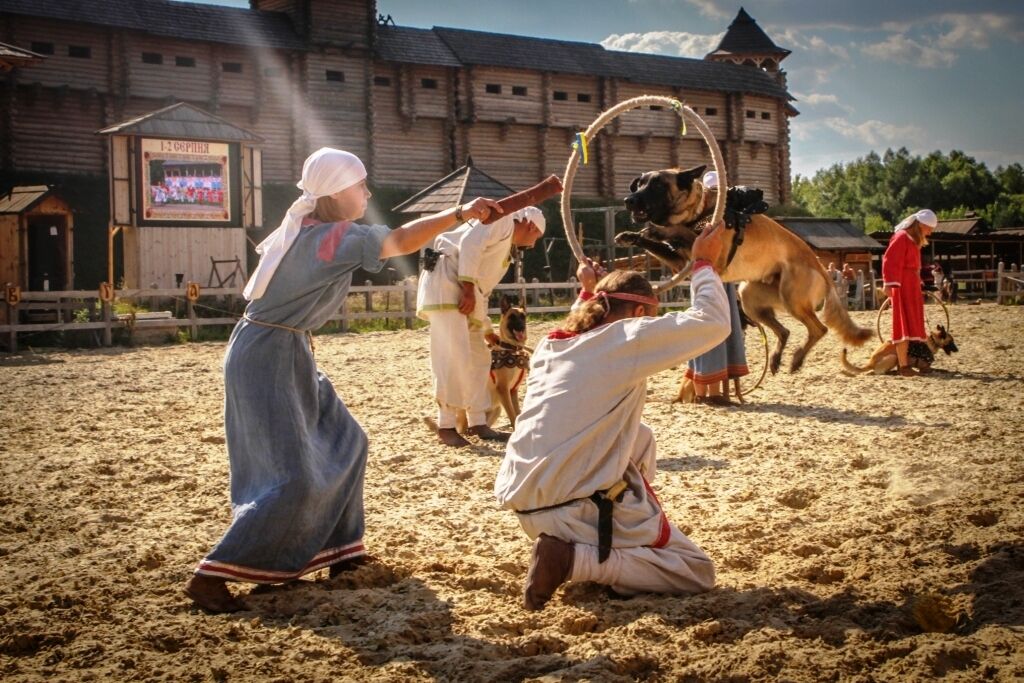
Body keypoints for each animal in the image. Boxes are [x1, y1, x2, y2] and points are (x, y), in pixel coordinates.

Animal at [614, 163, 872, 374]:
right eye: (640, 183)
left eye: (657, 185)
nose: (629, 200)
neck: (699, 211)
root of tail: (822, 269)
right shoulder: (681, 260)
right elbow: (657, 240)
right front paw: (631, 236)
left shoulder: (703, 252)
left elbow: (678, 232)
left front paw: (657, 230)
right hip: (749, 296)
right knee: (785, 331)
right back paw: (776, 359)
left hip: (792, 298)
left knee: (819, 329)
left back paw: (797, 359)